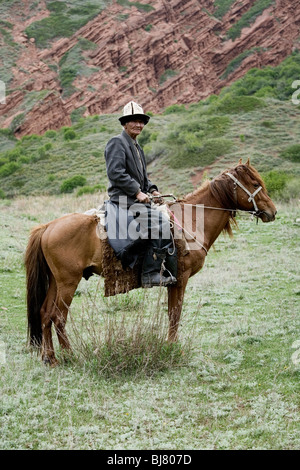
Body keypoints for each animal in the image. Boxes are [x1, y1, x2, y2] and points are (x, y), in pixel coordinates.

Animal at [25, 160, 276, 366]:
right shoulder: (180, 279)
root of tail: (47, 227)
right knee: (58, 316)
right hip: (68, 282)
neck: (191, 221)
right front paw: (173, 348)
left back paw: (50, 358)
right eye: (255, 183)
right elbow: (175, 313)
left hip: (56, 282)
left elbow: (172, 313)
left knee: (45, 313)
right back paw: (69, 355)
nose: (272, 211)